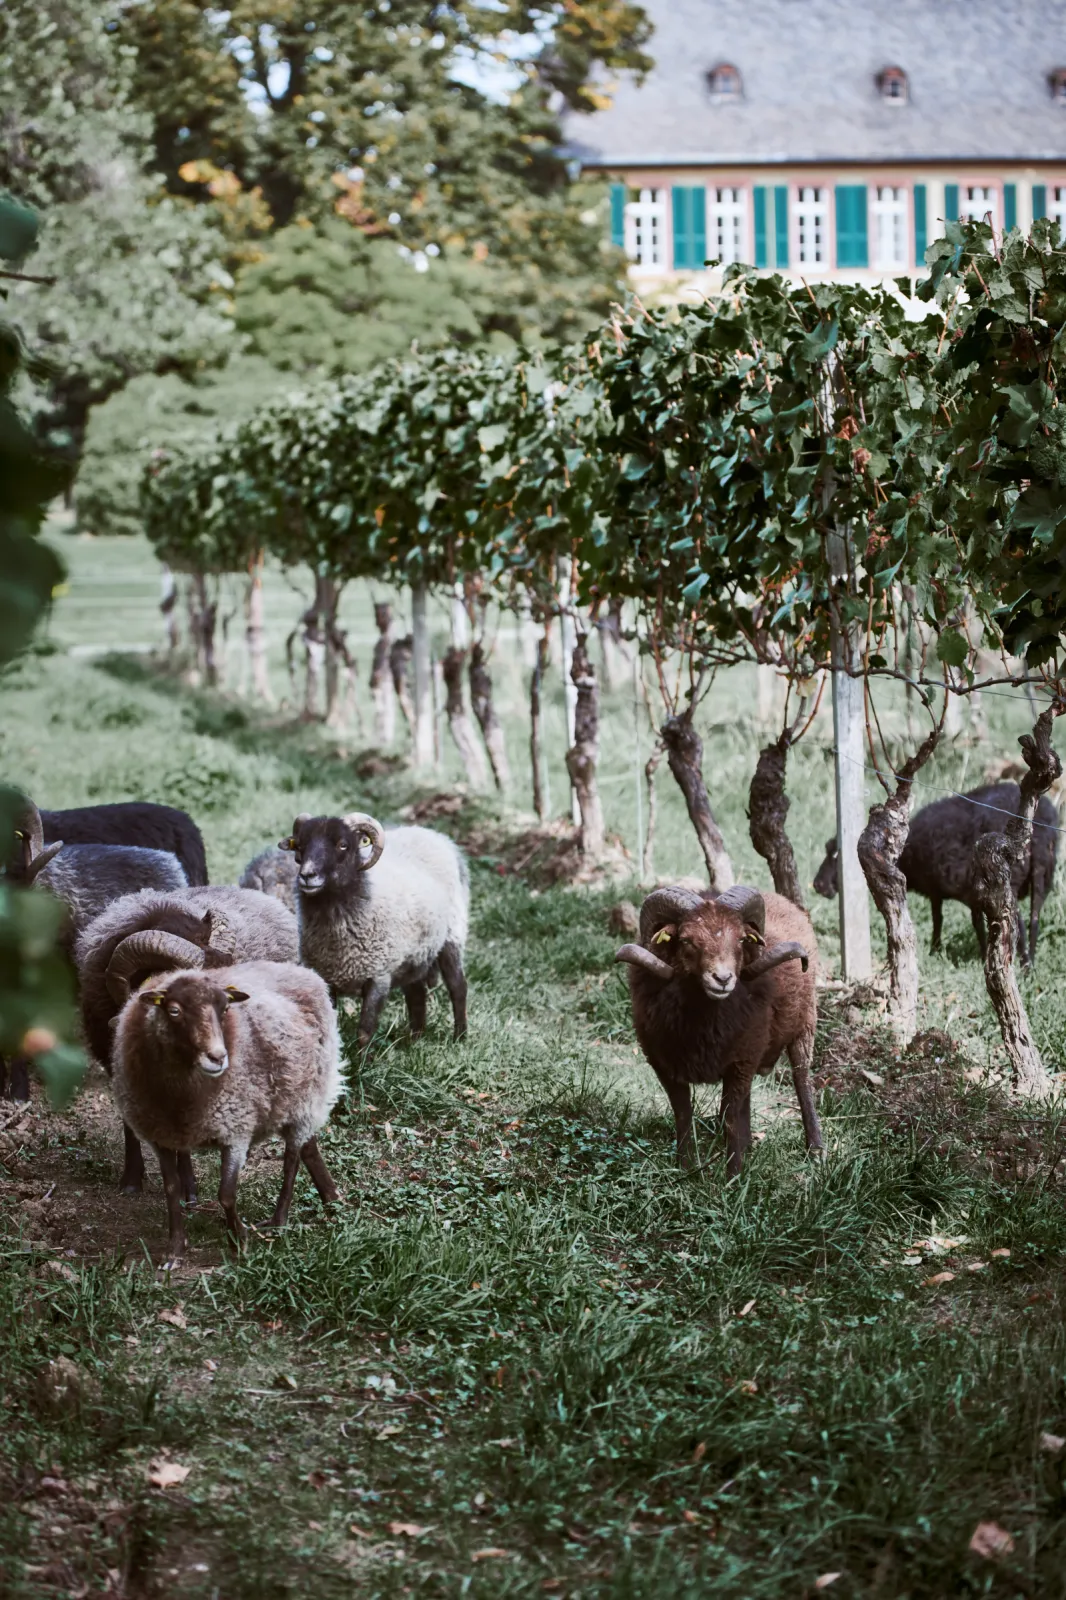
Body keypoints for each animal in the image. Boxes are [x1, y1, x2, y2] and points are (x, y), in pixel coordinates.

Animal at [111, 960, 342, 1261]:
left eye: (224, 1010)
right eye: (174, 1010)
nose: (218, 1057)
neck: (179, 1097)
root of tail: (304, 972)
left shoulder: (235, 1130)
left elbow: (226, 1194)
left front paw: (239, 1242)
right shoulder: (159, 1137)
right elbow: (171, 1190)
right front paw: (175, 1252)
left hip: (307, 1098)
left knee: (292, 1159)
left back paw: (279, 1220)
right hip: (288, 1102)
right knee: (308, 1148)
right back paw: (331, 1198)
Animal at [282, 811, 469, 1048]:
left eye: (343, 845)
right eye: (300, 845)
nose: (307, 875)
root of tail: (437, 836)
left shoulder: (379, 975)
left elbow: (365, 1031)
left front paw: (364, 1059)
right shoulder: (326, 977)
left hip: (452, 935)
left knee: (457, 987)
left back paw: (460, 1037)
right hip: (415, 954)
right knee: (417, 994)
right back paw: (414, 1040)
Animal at [616, 884, 819, 1178]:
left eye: (741, 939)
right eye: (686, 940)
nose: (722, 979)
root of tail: (786, 901)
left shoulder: (743, 1060)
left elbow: (732, 1119)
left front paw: (733, 1178)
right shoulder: (664, 1063)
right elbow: (683, 1115)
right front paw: (685, 1170)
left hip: (804, 1024)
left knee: (802, 1080)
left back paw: (816, 1151)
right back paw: (748, 1148)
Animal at [813, 781, 1059, 961]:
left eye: (837, 856)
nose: (818, 885)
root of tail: (1039, 830)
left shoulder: (940, 890)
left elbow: (939, 919)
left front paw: (936, 949)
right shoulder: (969, 894)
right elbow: (976, 924)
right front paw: (982, 954)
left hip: (1010, 882)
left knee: (1018, 921)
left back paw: (1022, 962)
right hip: (1042, 877)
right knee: (1034, 918)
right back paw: (1029, 963)